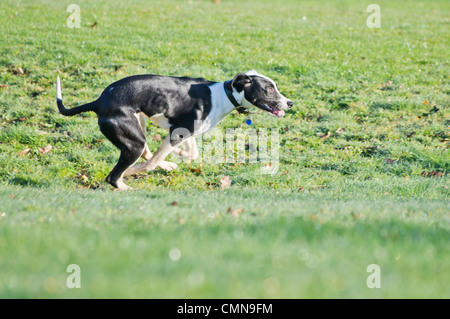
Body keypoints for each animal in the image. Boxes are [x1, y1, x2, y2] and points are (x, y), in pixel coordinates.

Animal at [56, 70, 294, 190]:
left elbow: (191, 153)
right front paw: (139, 170)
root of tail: (99, 101)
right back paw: (125, 182)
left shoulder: (184, 132)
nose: (290, 103)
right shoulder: (178, 134)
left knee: (146, 151)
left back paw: (165, 164)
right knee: (115, 175)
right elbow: (152, 163)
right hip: (134, 141)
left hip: (139, 125)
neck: (224, 94)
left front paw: (175, 158)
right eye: (268, 89)